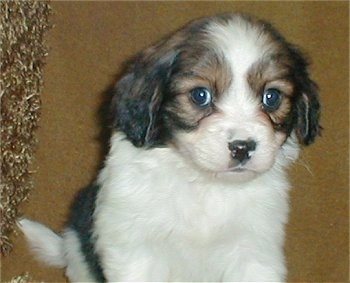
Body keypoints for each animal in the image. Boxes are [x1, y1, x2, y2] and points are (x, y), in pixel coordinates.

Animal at [18, 12, 320, 282]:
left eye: (272, 97)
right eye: (200, 95)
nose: (242, 147)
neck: (205, 186)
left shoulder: (255, 251)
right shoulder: (134, 249)